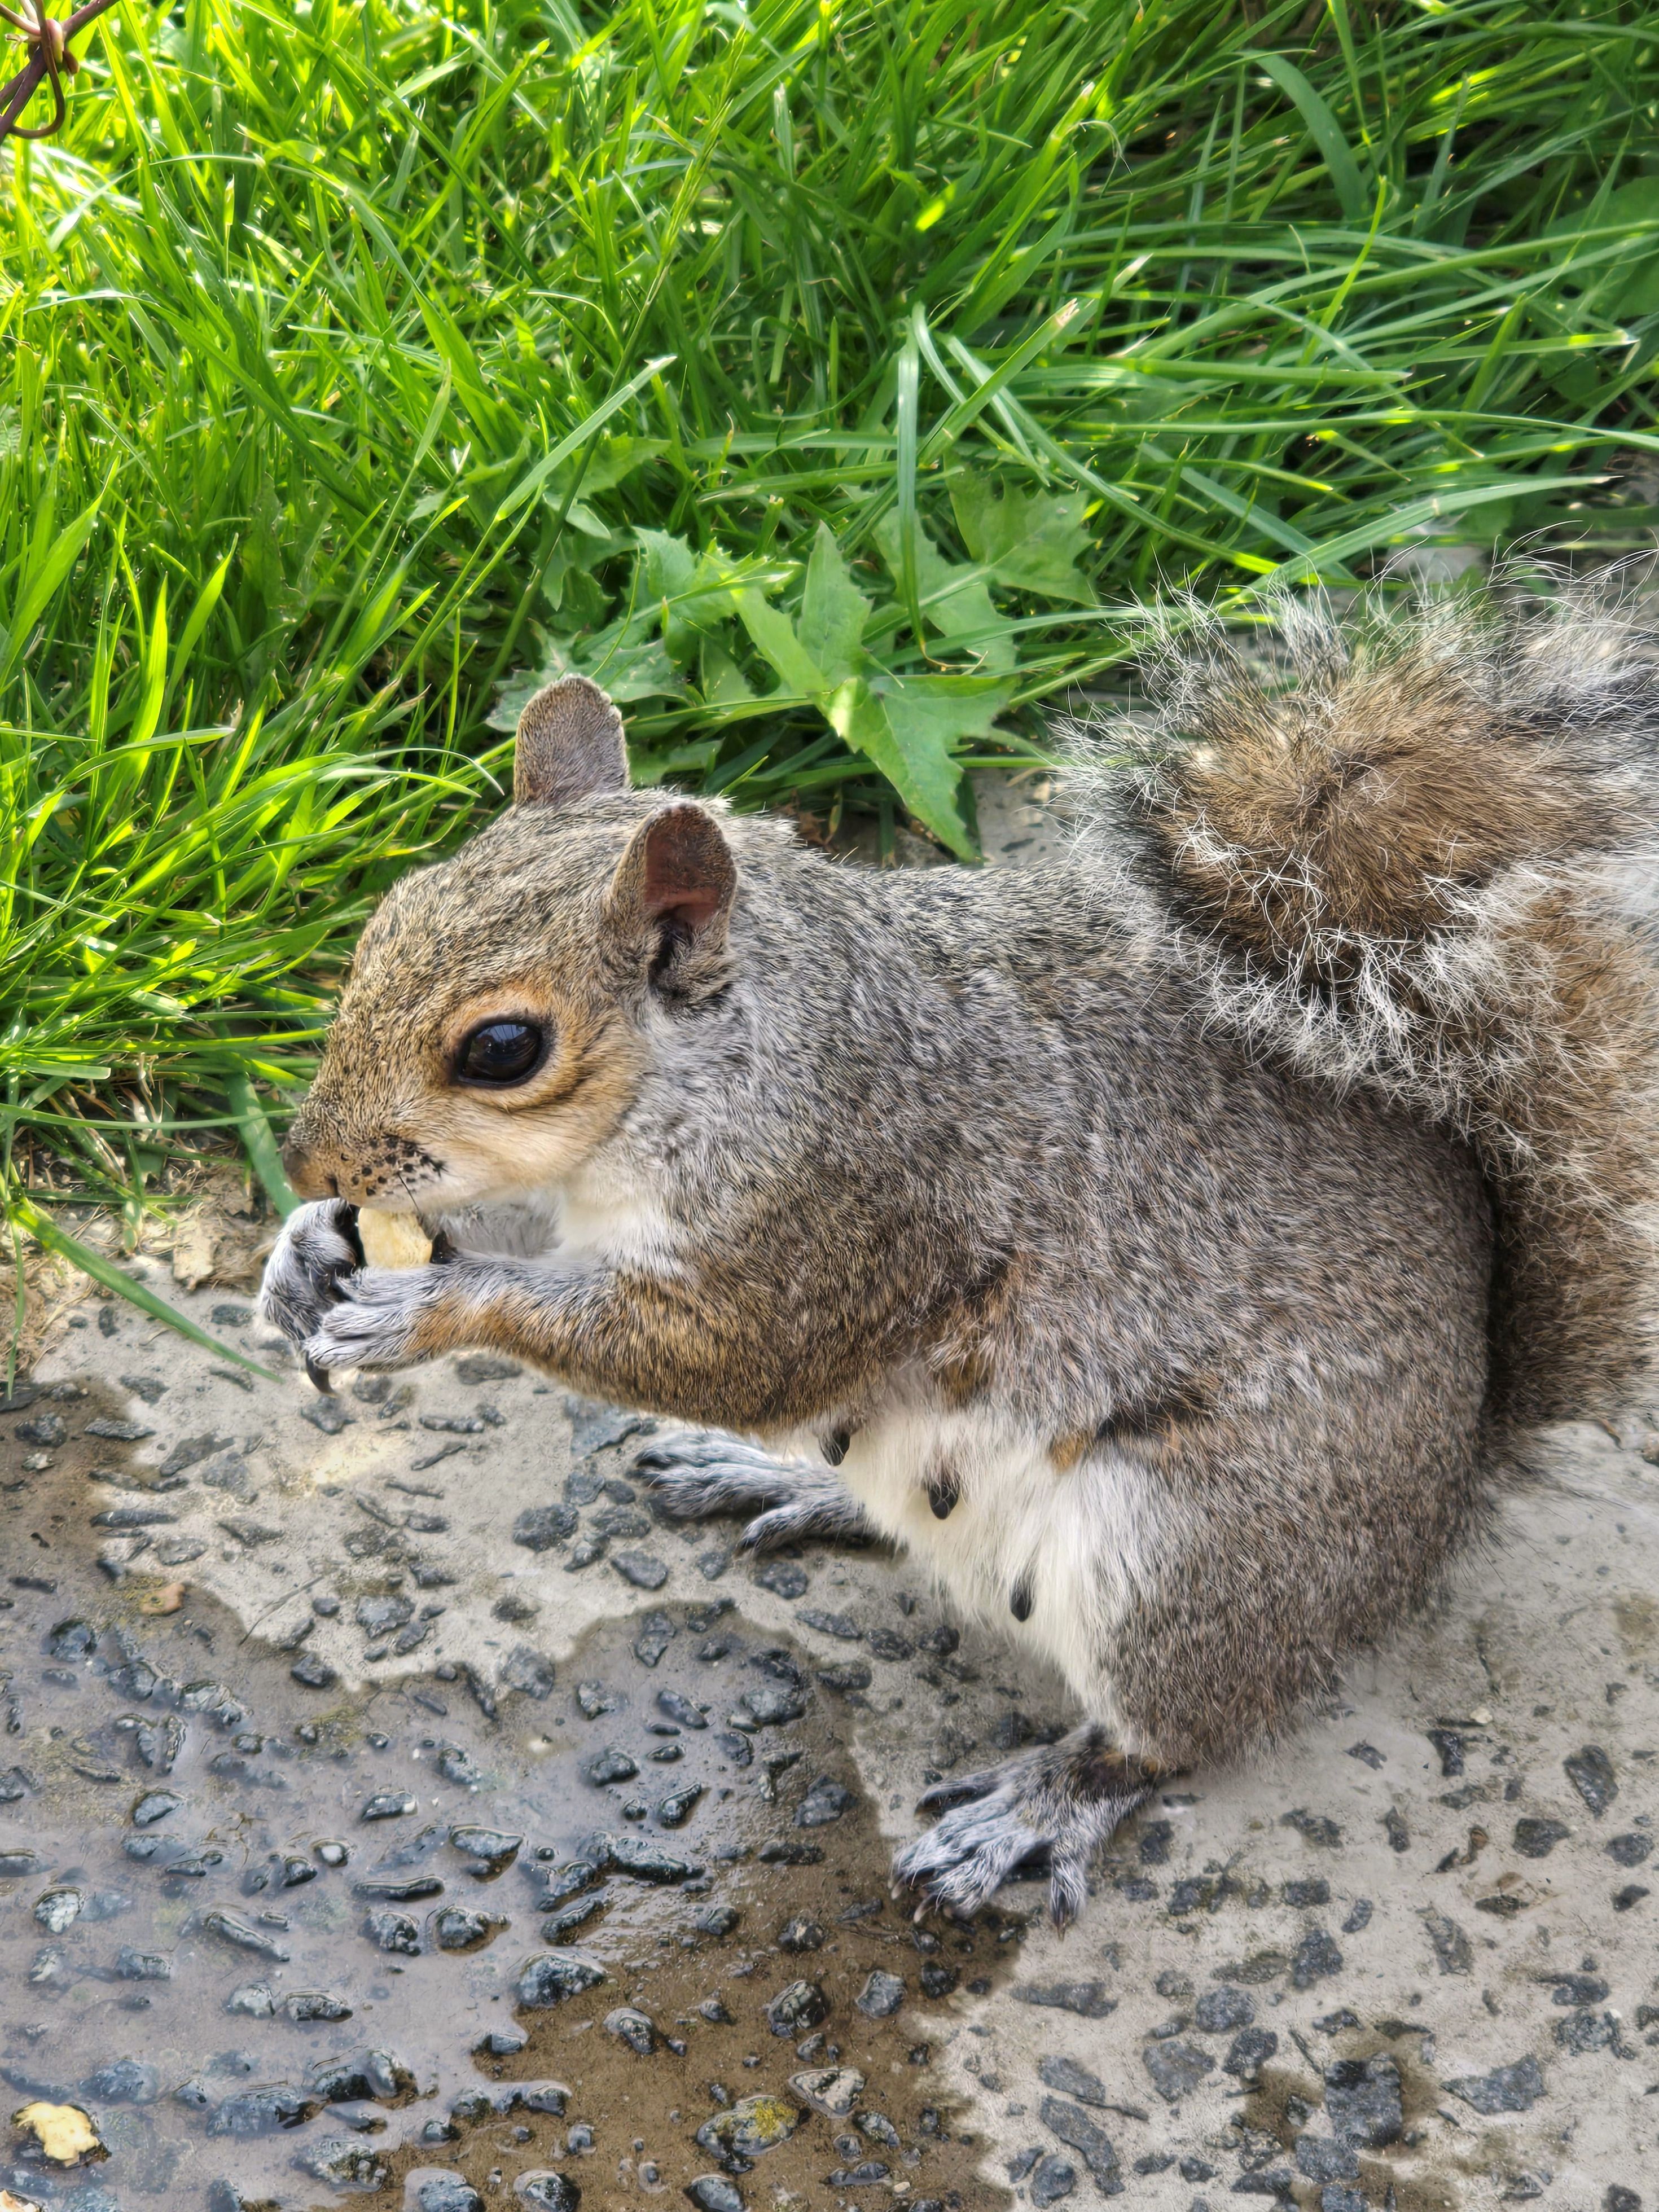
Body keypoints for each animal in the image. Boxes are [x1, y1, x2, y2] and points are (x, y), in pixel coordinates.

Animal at [260, 571, 1659, 1929]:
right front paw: (306, 1252)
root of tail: (1446, 1492)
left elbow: (728, 1354)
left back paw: (1042, 1803)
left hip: (1189, 1553)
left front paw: (427, 1310)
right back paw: (781, 1481)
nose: (307, 1161)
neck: (724, 1058)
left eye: (503, 1048)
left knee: (1169, 1732)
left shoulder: (850, 1206)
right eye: (384, 919)